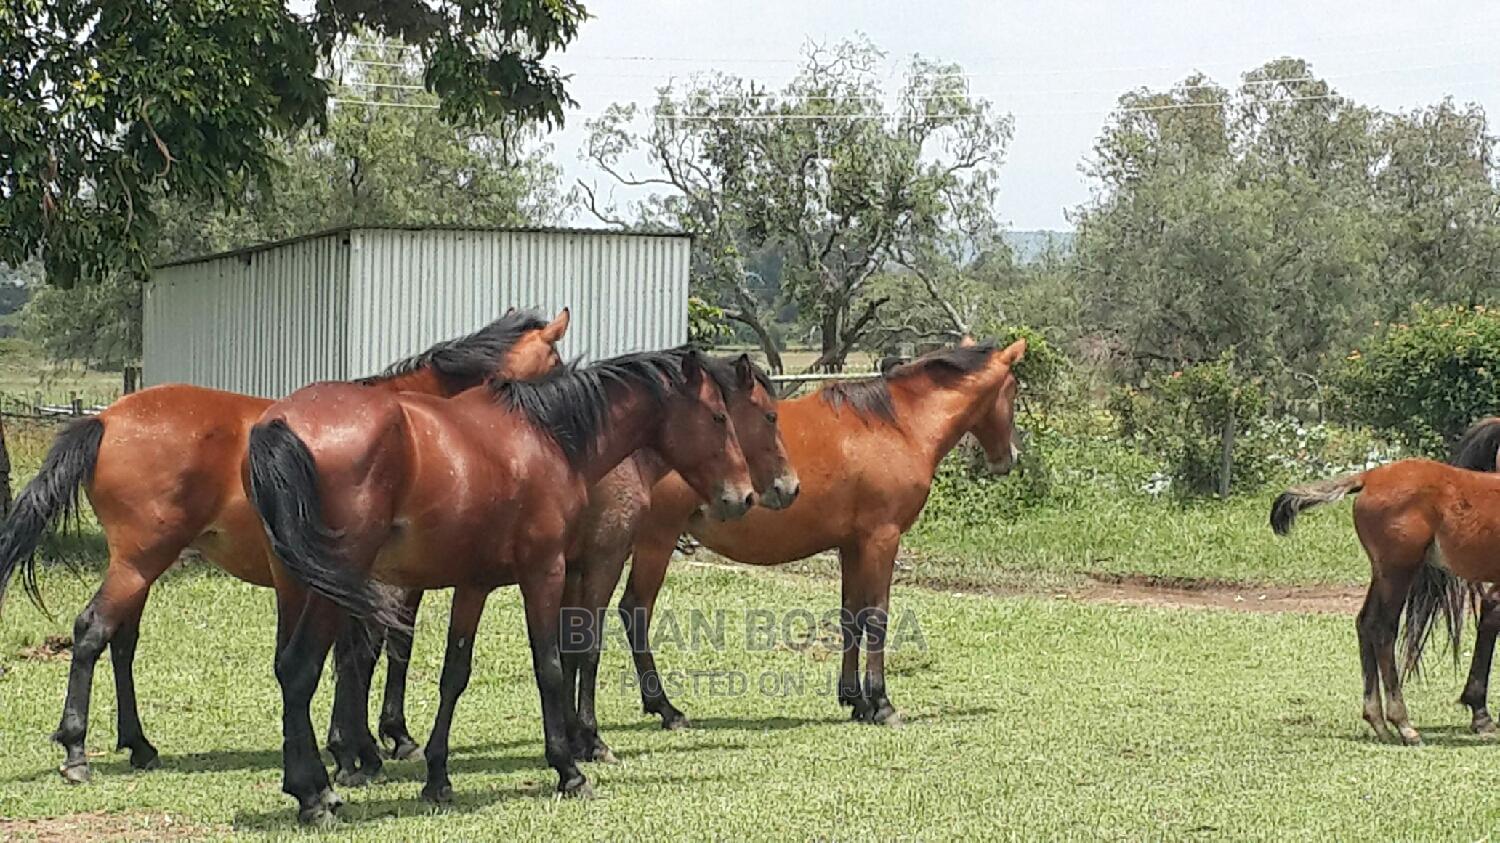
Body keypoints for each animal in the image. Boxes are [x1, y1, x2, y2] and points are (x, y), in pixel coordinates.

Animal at [0, 309, 570, 784]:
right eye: (557, 361)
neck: (418, 432)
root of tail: (104, 418)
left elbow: (358, 654)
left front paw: (359, 747)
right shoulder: (382, 583)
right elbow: (370, 653)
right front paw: (369, 747)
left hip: (141, 565)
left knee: (122, 640)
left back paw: (139, 745)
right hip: (139, 561)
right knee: (92, 632)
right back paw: (76, 751)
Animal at [245, 348, 759, 825]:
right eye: (719, 416)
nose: (744, 496)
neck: (547, 438)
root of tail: (282, 422)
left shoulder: (474, 585)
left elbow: (454, 675)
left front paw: (438, 778)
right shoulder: (545, 572)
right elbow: (551, 666)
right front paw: (569, 769)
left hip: (294, 584)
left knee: (287, 668)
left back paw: (317, 787)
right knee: (301, 669)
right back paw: (314, 797)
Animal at [607, 338, 1026, 730]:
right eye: (1013, 388)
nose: (1010, 457)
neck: (897, 427)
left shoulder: (852, 544)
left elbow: (851, 616)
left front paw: (856, 700)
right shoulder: (882, 538)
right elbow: (877, 617)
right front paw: (882, 704)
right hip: (656, 541)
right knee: (636, 611)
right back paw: (665, 708)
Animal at [1271, 457, 1500, 745]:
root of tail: (1368, 477)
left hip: (1382, 573)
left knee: (1365, 622)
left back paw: (1378, 721)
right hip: (1398, 570)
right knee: (1382, 629)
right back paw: (1403, 725)